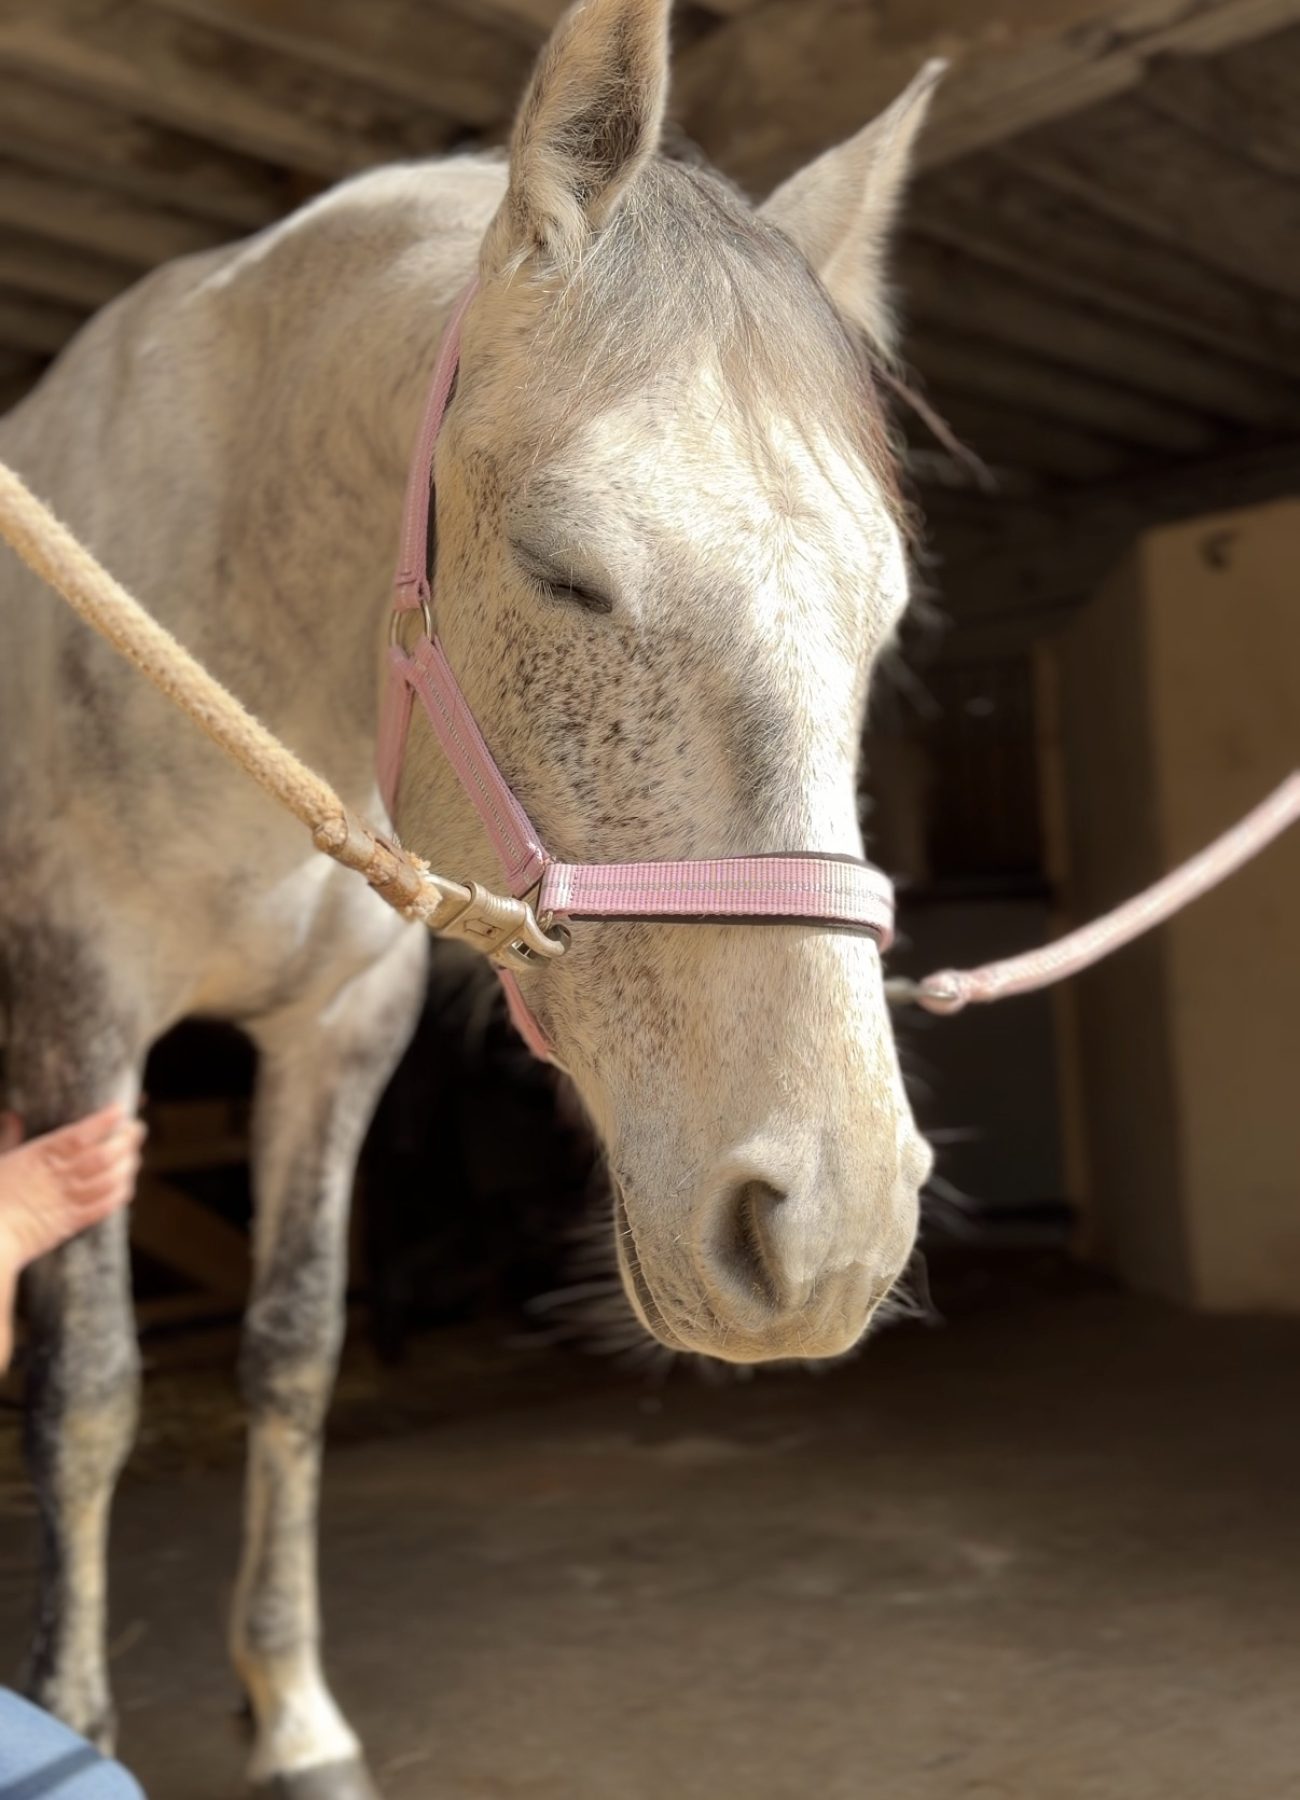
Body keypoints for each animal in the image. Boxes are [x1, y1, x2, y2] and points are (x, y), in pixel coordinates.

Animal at [0, 1, 939, 1791]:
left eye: (883, 615)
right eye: (565, 571)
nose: (830, 1236)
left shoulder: (336, 1039)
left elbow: (293, 1353)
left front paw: (296, 1714)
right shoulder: (84, 1011)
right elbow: (84, 1388)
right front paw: (72, 1726)